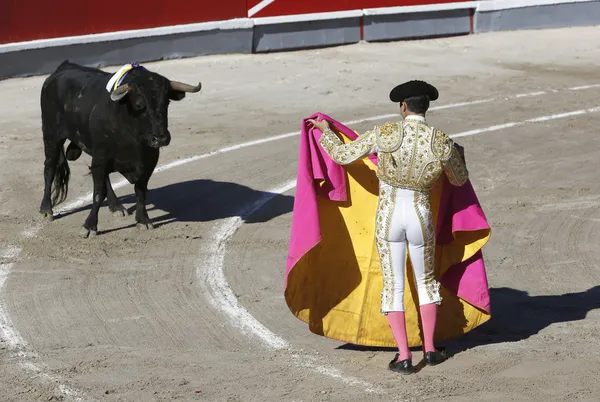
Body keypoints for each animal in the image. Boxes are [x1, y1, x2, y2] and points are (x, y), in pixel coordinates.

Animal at [41, 61, 204, 237]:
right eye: (139, 105)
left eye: (166, 103)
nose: (160, 138)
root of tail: (62, 68)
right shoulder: (101, 158)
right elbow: (98, 193)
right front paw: (89, 227)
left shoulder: (149, 161)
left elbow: (140, 190)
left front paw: (143, 220)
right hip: (51, 136)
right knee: (49, 168)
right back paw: (46, 209)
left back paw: (116, 207)